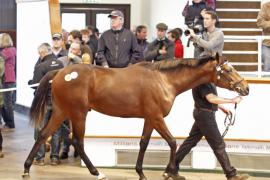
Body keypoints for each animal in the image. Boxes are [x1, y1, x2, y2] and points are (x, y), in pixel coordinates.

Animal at [22, 55, 249, 180]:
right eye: (228, 69)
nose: (245, 88)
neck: (163, 80)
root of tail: (60, 73)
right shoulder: (156, 117)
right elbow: (172, 142)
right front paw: (169, 172)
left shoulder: (149, 118)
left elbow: (143, 143)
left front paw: (141, 172)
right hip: (78, 114)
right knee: (77, 141)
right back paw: (97, 173)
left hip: (61, 112)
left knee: (43, 135)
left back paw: (26, 169)